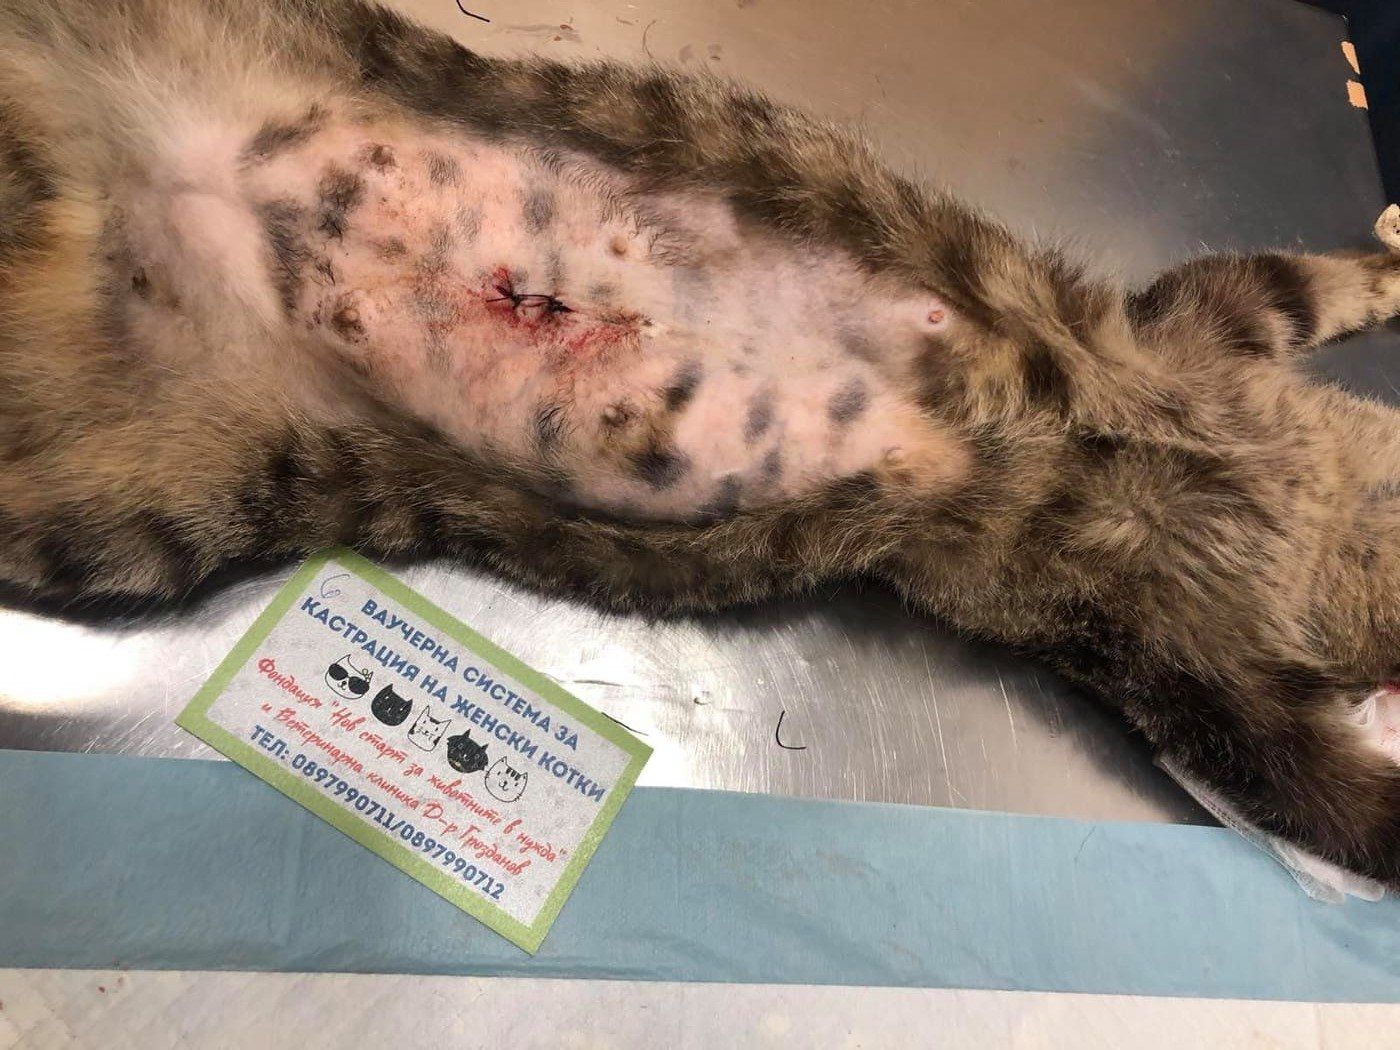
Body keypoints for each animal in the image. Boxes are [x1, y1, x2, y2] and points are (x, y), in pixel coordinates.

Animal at [6, 0, 1400, 884]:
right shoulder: (1191, 380)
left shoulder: (1213, 669)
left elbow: (1328, 784)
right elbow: (1310, 282)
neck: (1326, 526)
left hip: (141, 488)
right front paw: (1387, 249)